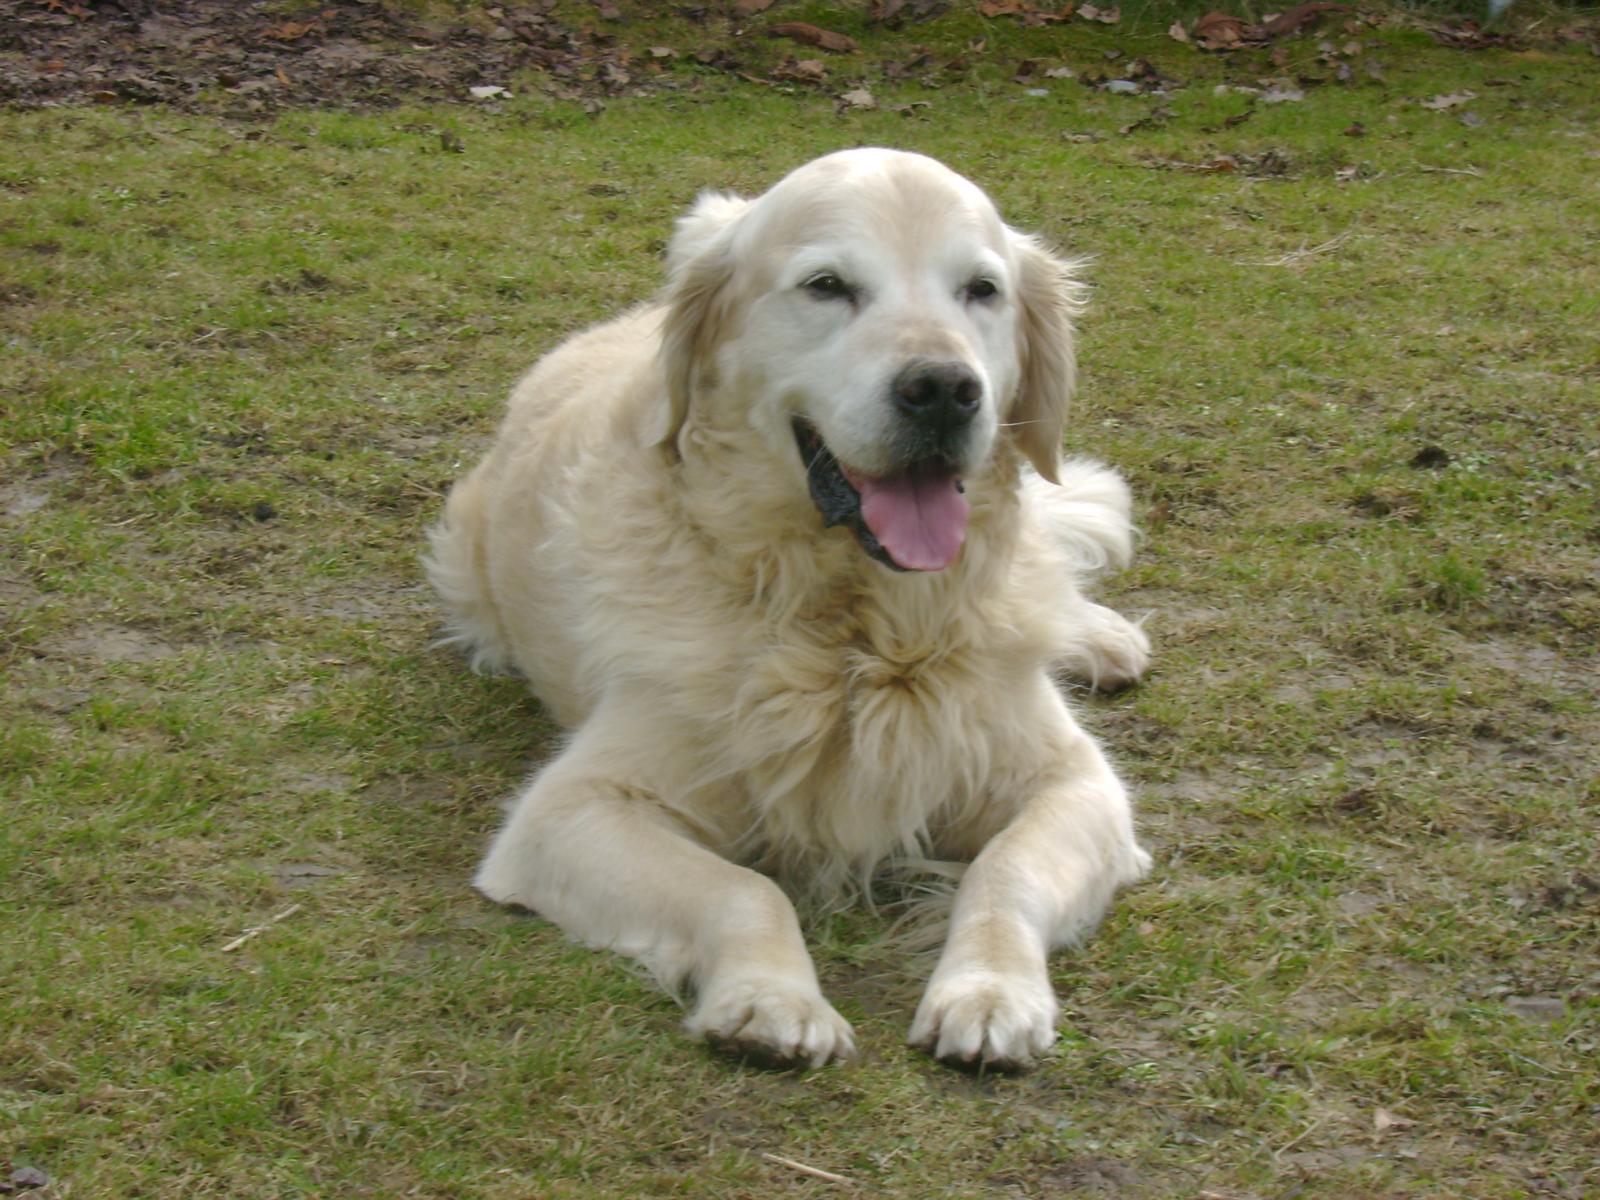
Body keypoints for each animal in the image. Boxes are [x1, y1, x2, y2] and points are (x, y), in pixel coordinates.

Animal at [426, 148, 1152, 1070]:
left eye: (981, 290)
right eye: (827, 286)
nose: (944, 389)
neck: (855, 628)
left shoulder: (1073, 780)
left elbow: (1007, 872)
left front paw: (990, 993)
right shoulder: (569, 810)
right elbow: (742, 889)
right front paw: (771, 998)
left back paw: (1102, 639)